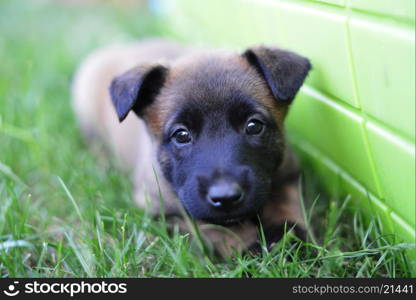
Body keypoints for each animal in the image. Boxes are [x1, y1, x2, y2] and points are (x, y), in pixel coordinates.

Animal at [71, 38, 310, 255]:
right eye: (182, 135)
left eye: (254, 126)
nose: (226, 197)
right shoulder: (165, 207)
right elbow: (214, 226)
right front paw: (251, 245)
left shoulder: (288, 175)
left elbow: (286, 205)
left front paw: (287, 239)